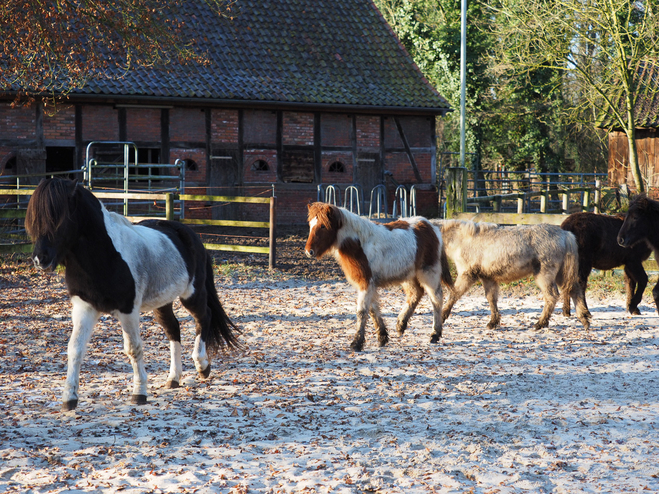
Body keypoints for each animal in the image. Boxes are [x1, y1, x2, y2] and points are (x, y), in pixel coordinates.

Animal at [25, 179, 240, 412]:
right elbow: (75, 349)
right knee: (173, 328)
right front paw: (69, 398)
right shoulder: (84, 307)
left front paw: (139, 393)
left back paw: (202, 367)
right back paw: (173, 378)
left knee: (204, 317)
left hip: (192, 294)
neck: (103, 255)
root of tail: (190, 235)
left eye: (59, 218)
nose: (40, 259)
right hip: (162, 302)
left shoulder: (128, 310)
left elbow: (133, 349)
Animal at [302, 202, 448, 352]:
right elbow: (373, 310)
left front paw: (357, 343)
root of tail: (431, 226)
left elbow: (362, 312)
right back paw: (400, 325)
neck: (359, 244)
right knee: (415, 294)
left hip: (428, 273)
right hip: (409, 275)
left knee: (436, 299)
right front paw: (382, 337)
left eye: (323, 226)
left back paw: (434, 334)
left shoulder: (366, 283)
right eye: (310, 224)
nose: (309, 251)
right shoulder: (368, 284)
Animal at [434, 220, 592, 332]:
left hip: (545, 276)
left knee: (551, 296)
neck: (463, 239)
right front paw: (493, 322)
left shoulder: (467, 275)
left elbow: (454, 294)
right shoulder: (488, 278)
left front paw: (442, 317)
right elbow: (491, 299)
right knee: (575, 291)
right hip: (561, 275)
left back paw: (540, 324)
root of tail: (565, 234)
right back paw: (584, 320)